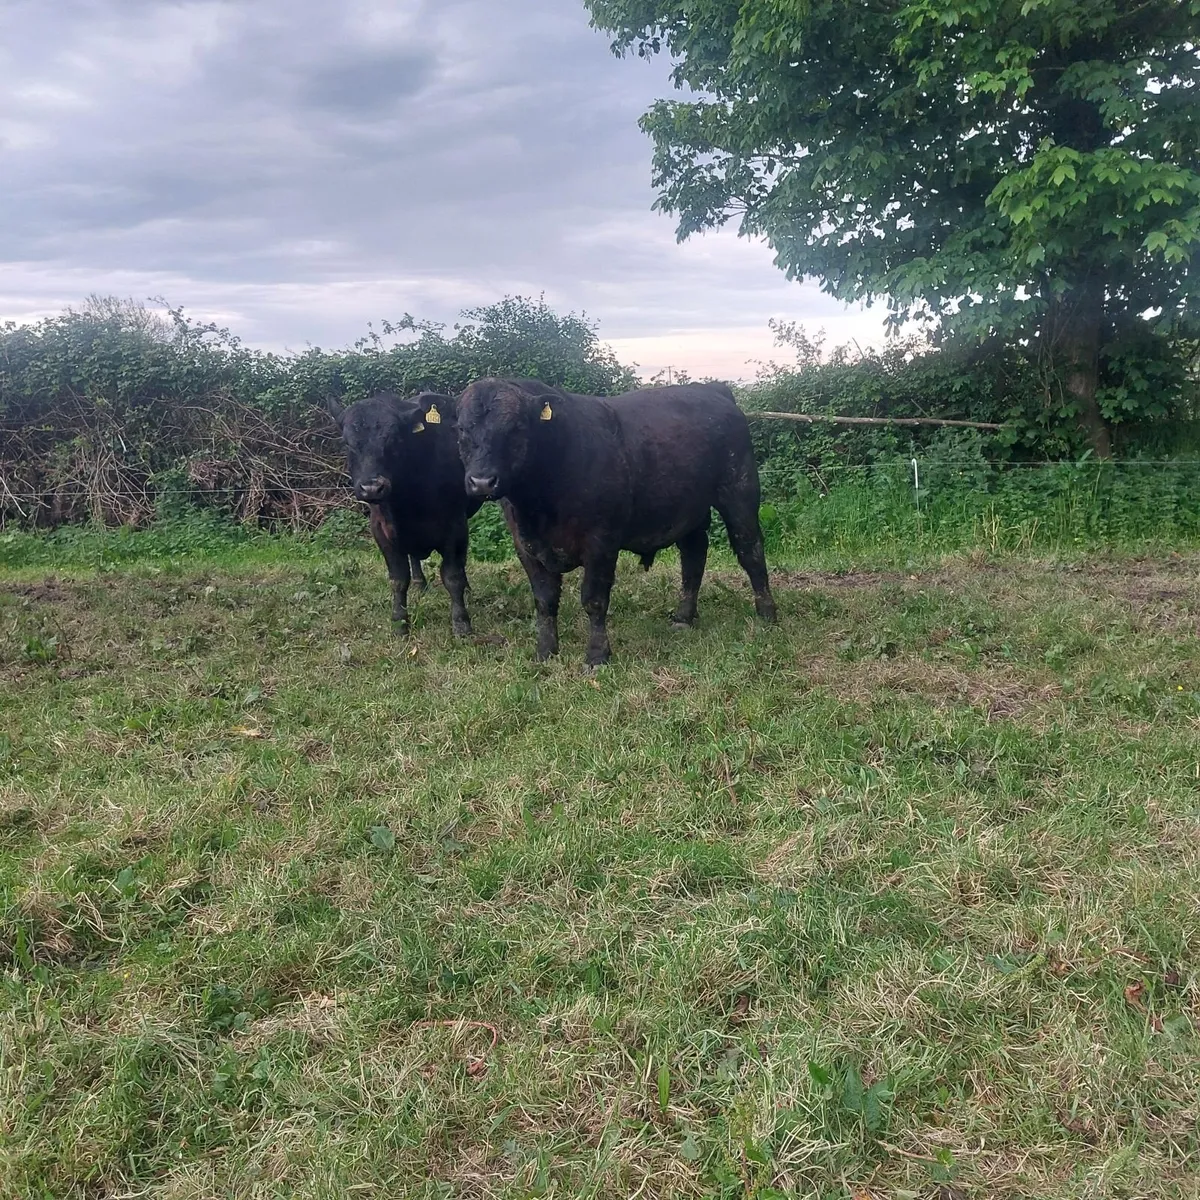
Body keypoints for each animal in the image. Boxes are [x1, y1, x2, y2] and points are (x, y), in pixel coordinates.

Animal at [327, 390, 482, 637]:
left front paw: (461, 623)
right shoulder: (380, 529)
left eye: (394, 439)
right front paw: (399, 622)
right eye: (347, 443)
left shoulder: (456, 526)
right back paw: (419, 583)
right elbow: (398, 579)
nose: (372, 487)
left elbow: (452, 575)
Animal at [456, 377, 777, 666]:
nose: (482, 481)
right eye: (461, 429)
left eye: (516, 428)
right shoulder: (526, 546)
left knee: (750, 551)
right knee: (694, 558)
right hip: (691, 510)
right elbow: (544, 601)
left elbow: (593, 600)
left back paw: (767, 614)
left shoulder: (601, 542)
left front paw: (597, 656)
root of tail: (712, 389)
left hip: (739, 492)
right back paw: (683, 617)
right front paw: (545, 652)